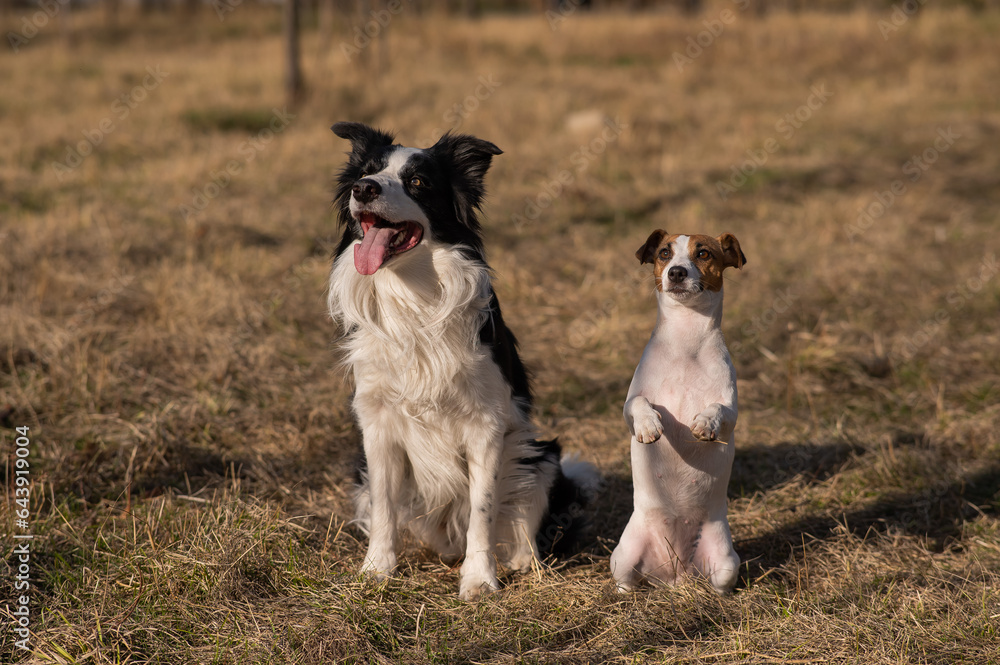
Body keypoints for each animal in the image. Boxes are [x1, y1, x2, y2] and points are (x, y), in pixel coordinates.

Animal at [328, 122, 596, 600]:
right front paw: (375, 571)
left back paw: (520, 563)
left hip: (541, 458)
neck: (413, 294)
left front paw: (479, 580)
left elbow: (482, 510)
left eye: (419, 181)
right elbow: (384, 506)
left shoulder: (486, 425)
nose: (364, 189)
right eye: (365, 171)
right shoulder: (377, 421)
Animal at [612, 231, 748, 592]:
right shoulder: (630, 404)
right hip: (623, 557)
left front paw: (704, 423)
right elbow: (639, 406)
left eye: (703, 253)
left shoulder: (731, 410)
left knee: (720, 583)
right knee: (627, 581)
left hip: (725, 563)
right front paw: (649, 426)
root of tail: (674, 572)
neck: (687, 342)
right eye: (664, 253)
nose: (676, 272)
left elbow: (718, 410)